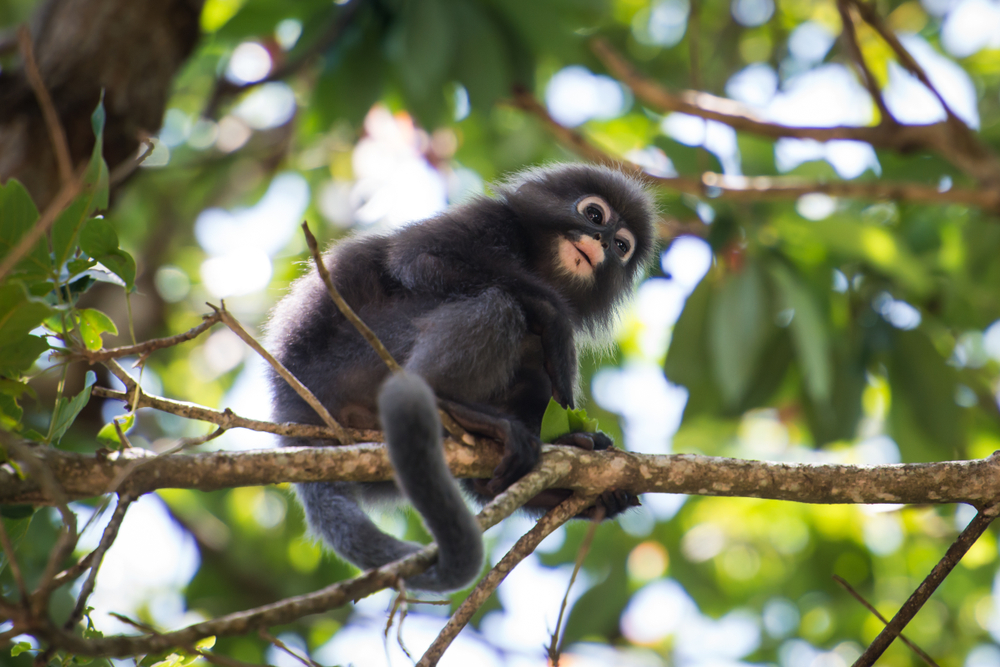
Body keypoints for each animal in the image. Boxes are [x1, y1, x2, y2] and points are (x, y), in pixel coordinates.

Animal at [266, 164, 656, 592]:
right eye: (595, 215)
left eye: (620, 246)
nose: (601, 241)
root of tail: (294, 411)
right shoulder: (489, 219)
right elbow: (418, 257)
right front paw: (556, 319)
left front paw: (583, 455)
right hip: (361, 353)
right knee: (500, 304)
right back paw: (451, 403)